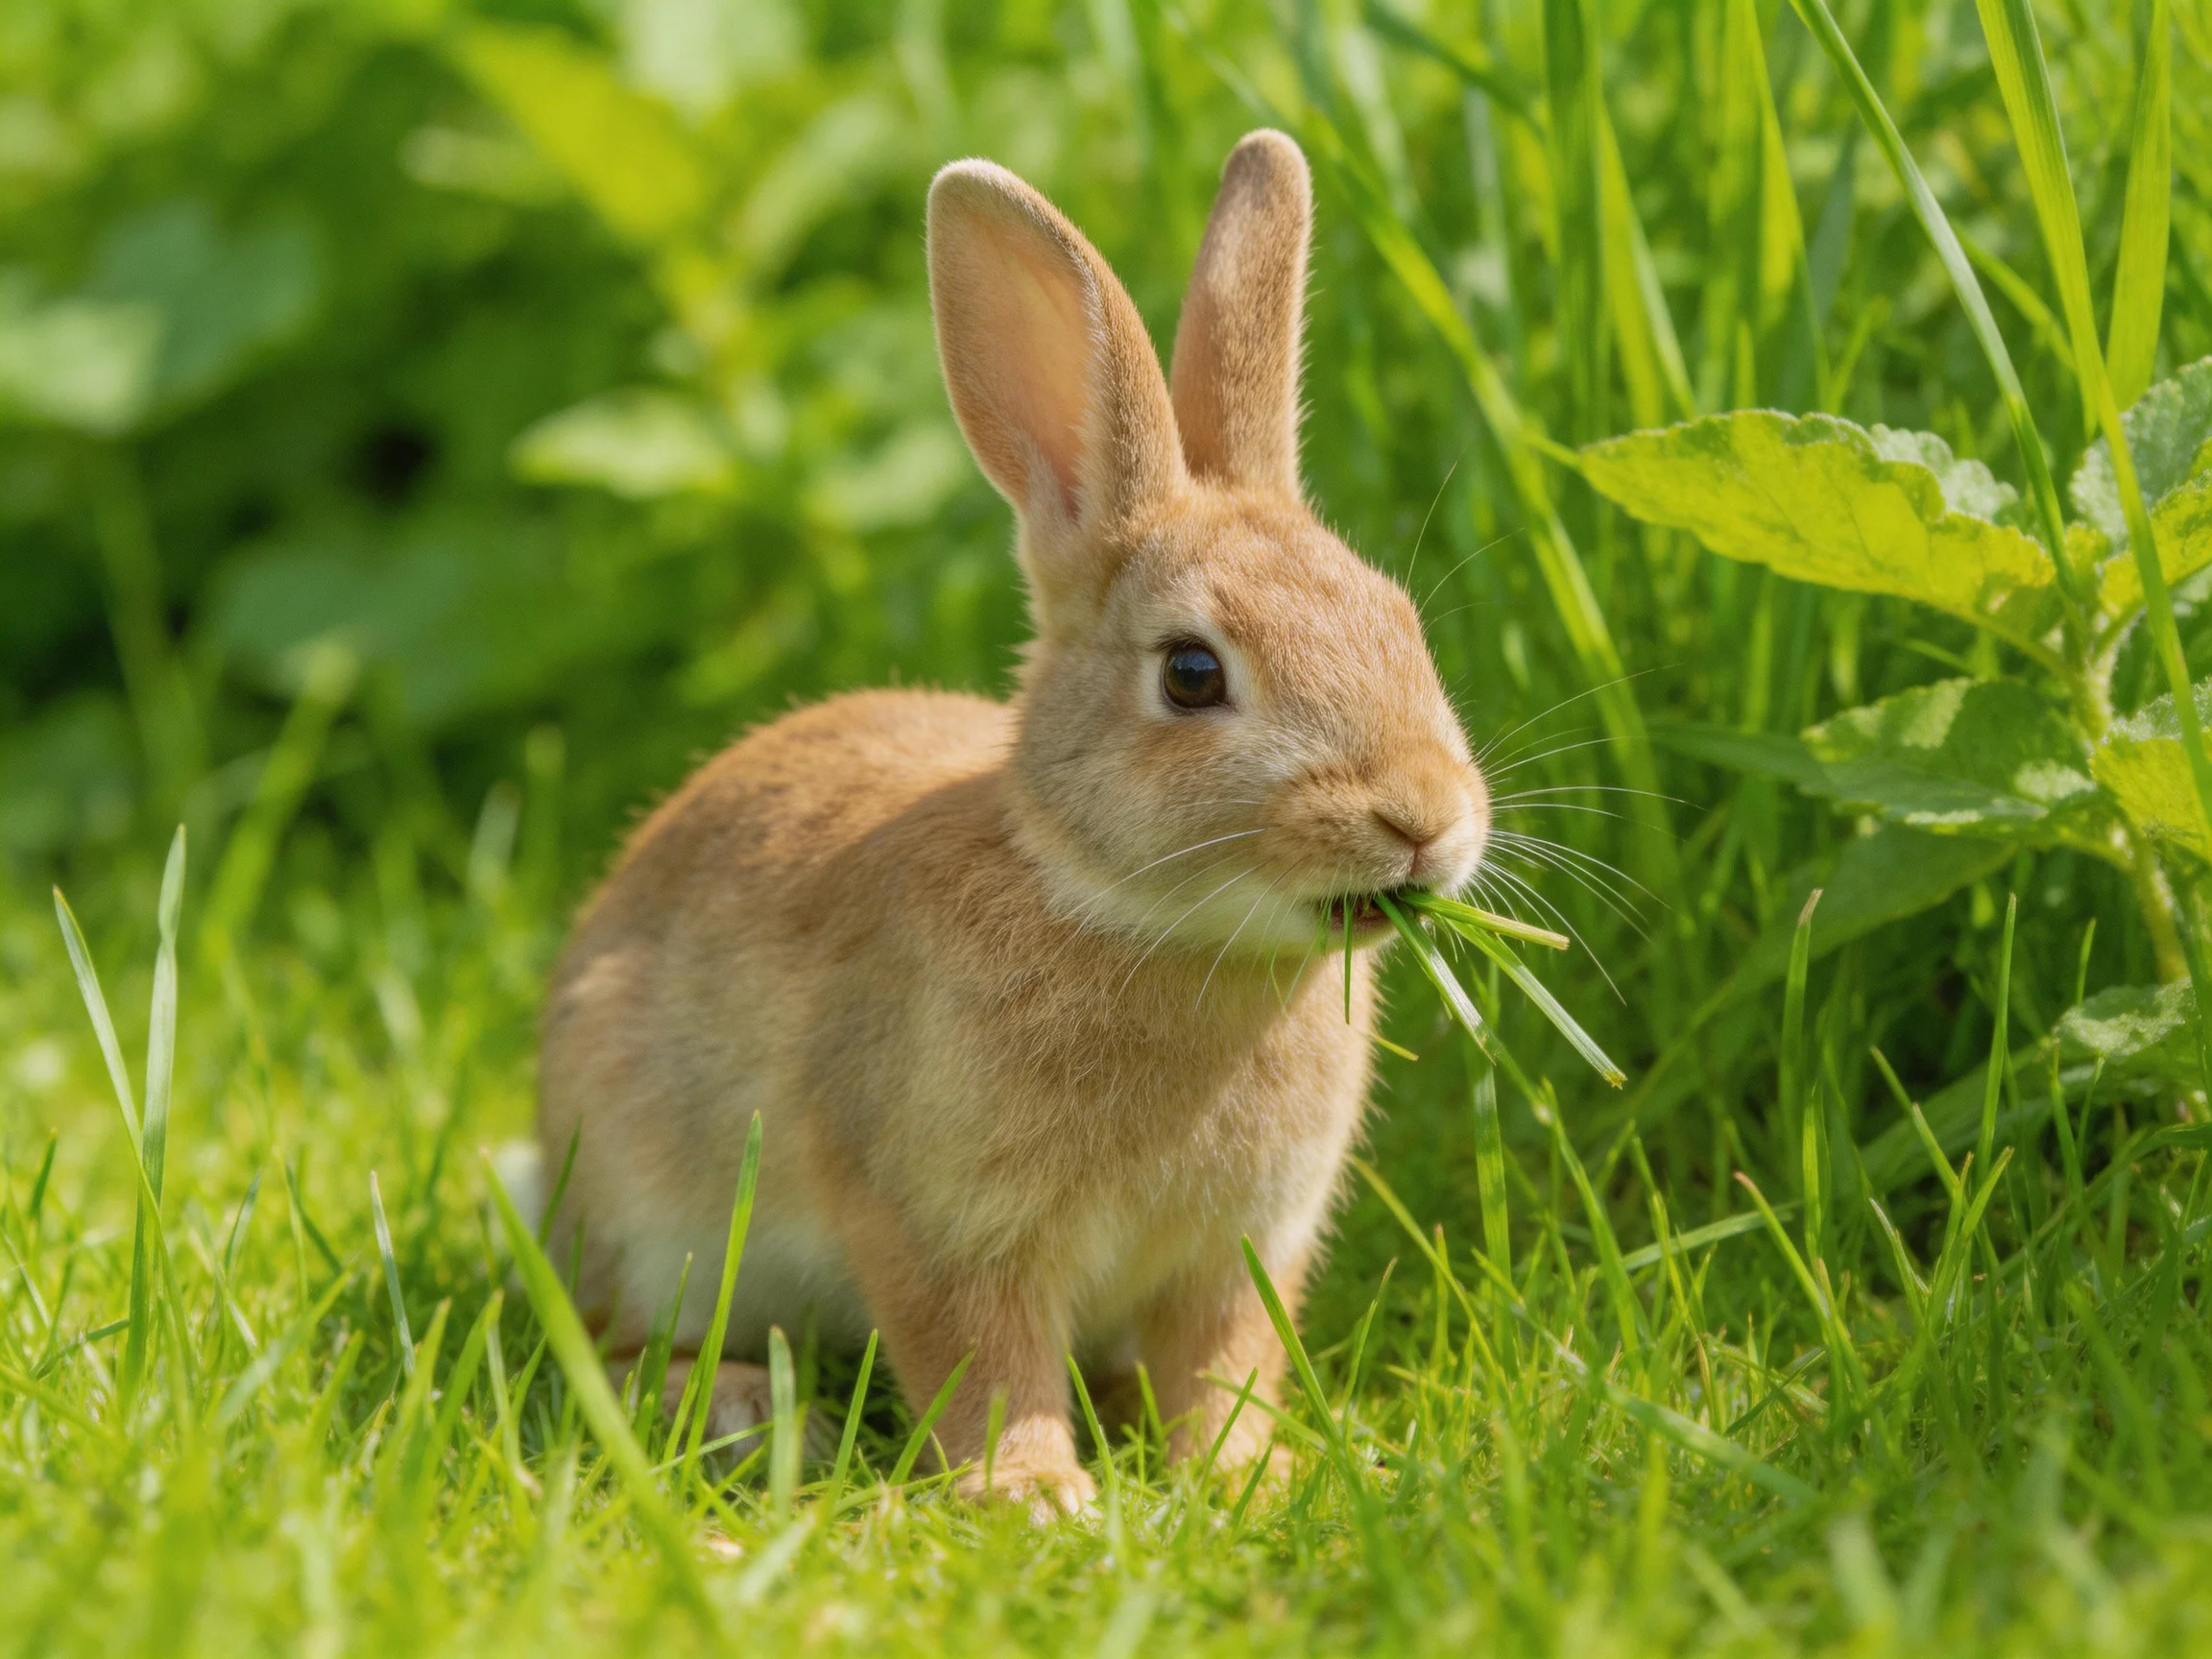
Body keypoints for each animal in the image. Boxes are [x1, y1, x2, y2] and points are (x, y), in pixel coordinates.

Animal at [536, 129, 1489, 1515]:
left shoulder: (1238, 1254)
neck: (1131, 919)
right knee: (608, 1342)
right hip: (642, 1202)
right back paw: (743, 1408)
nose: (1424, 820)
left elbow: (1224, 1370)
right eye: (1192, 674)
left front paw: (1253, 1480)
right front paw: (1038, 1502)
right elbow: (981, 1363)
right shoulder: (940, 1224)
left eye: (1400, 621)